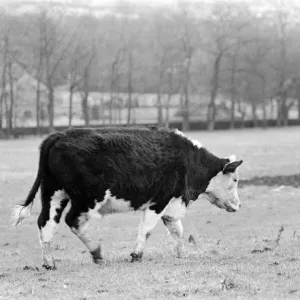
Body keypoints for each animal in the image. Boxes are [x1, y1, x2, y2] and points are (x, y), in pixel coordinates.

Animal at [12, 125, 244, 270]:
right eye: (235, 180)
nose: (238, 205)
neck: (187, 159)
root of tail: (59, 136)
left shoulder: (172, 204)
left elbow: (177, 230)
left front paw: (181, 254)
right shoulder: (158, 201)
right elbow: (147, 230)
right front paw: (136, 255)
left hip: (54, 194)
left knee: (46, 223)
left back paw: (49, 262)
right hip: (87, 199)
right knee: (73, 221)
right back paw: (96, 252)